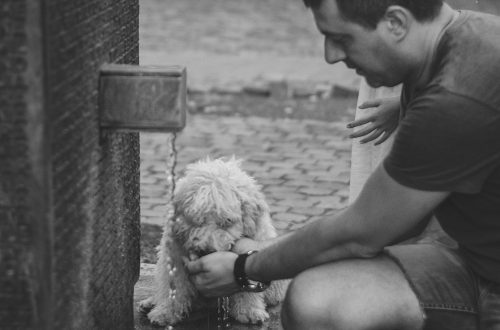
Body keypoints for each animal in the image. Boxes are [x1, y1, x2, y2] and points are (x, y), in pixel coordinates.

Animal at [139, 159, 288, 326]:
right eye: (196, 221)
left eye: (227, 221)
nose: (206, 250)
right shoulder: (174, 254)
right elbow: (174, 285)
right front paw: (166, 312)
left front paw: (249, 310)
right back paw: (150, 302)